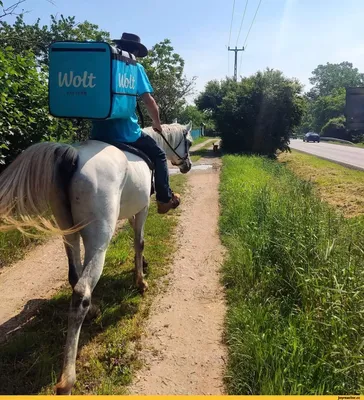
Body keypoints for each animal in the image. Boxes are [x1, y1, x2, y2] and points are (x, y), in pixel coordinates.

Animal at [0, 121, 193, 394]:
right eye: (188, 142)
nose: (187, 165)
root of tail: (73, 155)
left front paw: (142, 267)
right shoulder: (143, 207)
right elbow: (139, 241)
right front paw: (141, 281)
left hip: (68, 232)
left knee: (74, 276)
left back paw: (93, 310)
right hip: (98, 238)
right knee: (81, 290)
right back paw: (67, 380)